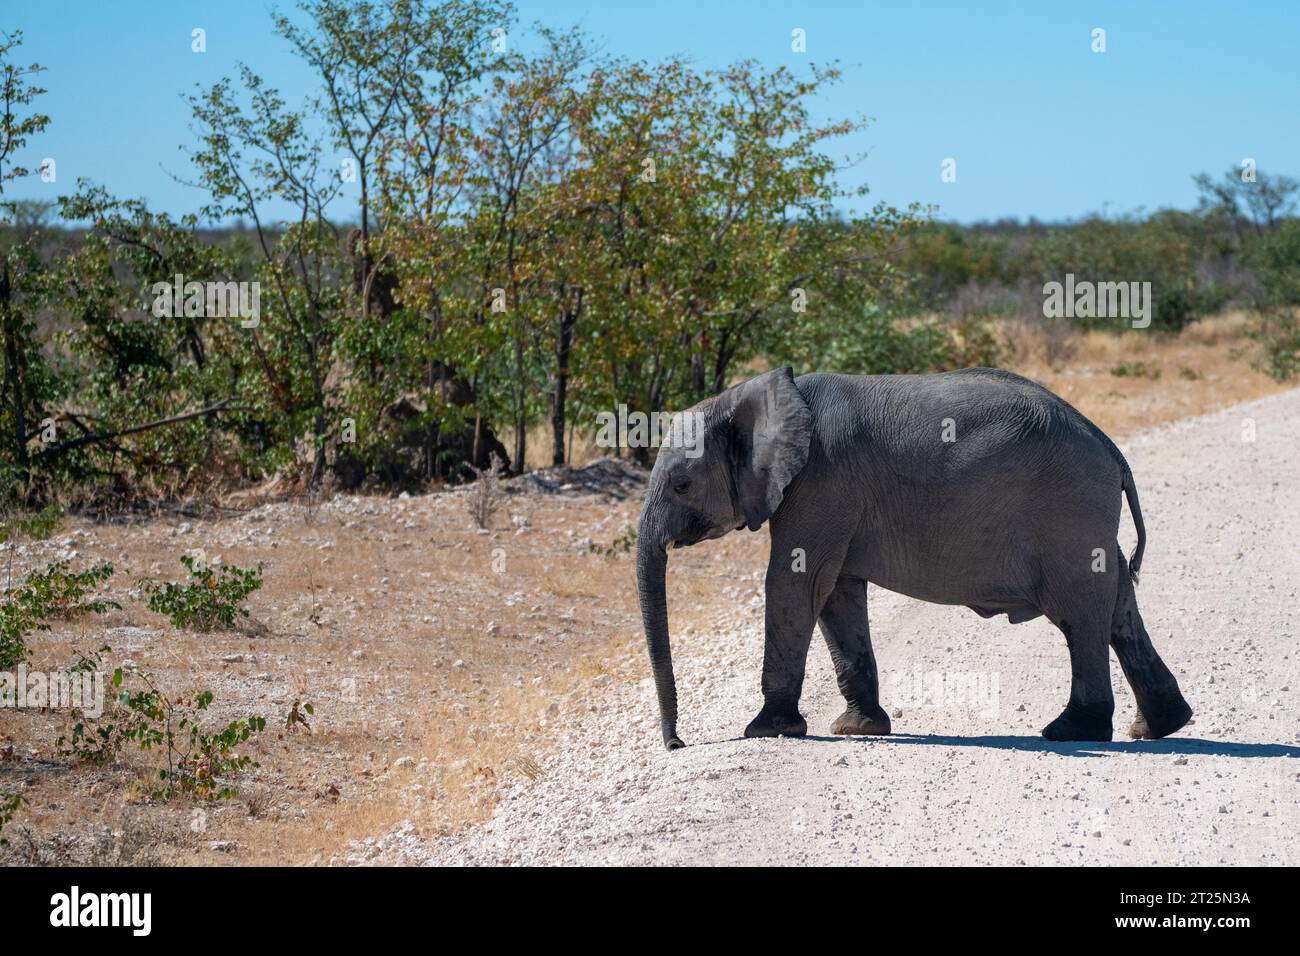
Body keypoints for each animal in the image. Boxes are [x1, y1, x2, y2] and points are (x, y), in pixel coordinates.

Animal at [634, 366, 1190, 749]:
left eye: (681, 485)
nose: (677, 744)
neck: (753, 396)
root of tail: (1113, 450)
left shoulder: (821, 482)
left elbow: (796, 582)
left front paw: (766, 731)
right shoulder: (833, 499)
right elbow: (836, 593)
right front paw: (856, 728)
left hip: (1070, 511)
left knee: (1079, 614)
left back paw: (1071, 732)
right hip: (1087, 519)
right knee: (1118, 607)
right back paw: (1159, 726)